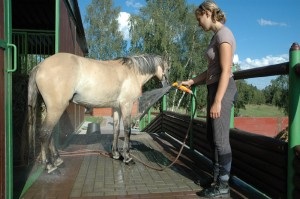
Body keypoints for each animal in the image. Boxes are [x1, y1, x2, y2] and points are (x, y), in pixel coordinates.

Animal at [27, 52, 171, 173]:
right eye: (168, 68)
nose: (168, 87)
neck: (132, 72)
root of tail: (40, 66)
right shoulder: (126, 105)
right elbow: (127, 130)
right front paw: (127, 157)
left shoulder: (117, 108)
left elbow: (116, 130)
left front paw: (116, 154)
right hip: (56, 108)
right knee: (45, 132)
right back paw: (49, 165)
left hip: (52, 109)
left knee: (49, 133)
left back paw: (57, 160)